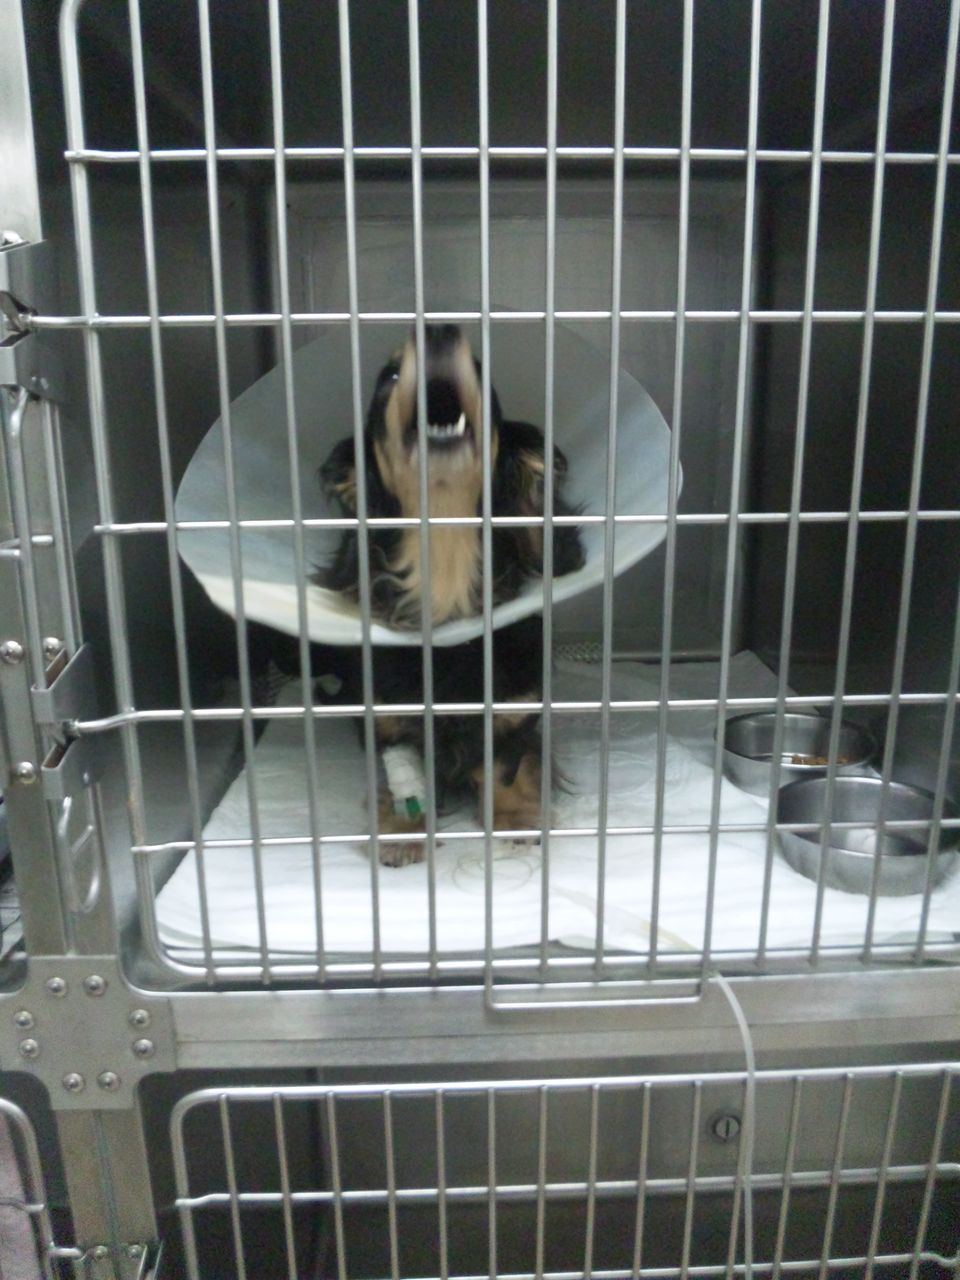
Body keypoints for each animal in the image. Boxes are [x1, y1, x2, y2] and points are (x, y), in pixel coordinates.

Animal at [316, 325, 585, 864]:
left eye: (480, 367)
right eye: (389, 375)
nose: (437, 329)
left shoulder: (516, 709)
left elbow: (507, 764)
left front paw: (515, 820)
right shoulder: (389, 718)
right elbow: (399, 766)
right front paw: (402, 828)